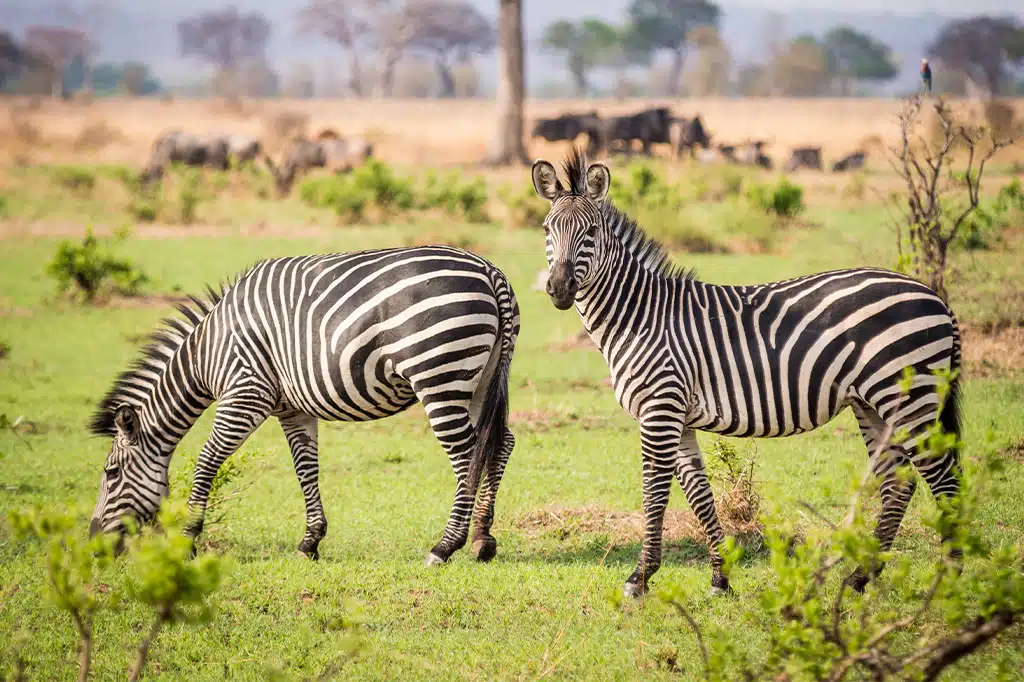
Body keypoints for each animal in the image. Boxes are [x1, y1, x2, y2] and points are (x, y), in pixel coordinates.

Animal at [88, 247, 520, 567]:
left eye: (111, 473)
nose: (94, 546)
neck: (206, 354)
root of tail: (490, 271)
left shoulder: (245, 394)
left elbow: (208, 461)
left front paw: (187, 540)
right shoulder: (291, 408)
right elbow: (304, 468)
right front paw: (310, 541)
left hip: (439, 375)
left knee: (467, 455)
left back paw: (445, 546)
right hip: (480, 379)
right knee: (498, 445)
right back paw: (482, 539)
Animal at [530, 148, 964, 598]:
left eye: (591, 232)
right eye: (546, 229)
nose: (558, 289)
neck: (638, 316)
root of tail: (934, 295)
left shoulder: (659, 410)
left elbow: (654, 493)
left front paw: (639, 578)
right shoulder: (678, 417)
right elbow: (699, 494)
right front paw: (720, 578)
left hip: (910, 399)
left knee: (943, 477)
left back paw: (950, 575)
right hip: (874, 405)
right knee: (899, 483)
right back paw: (862, 577)